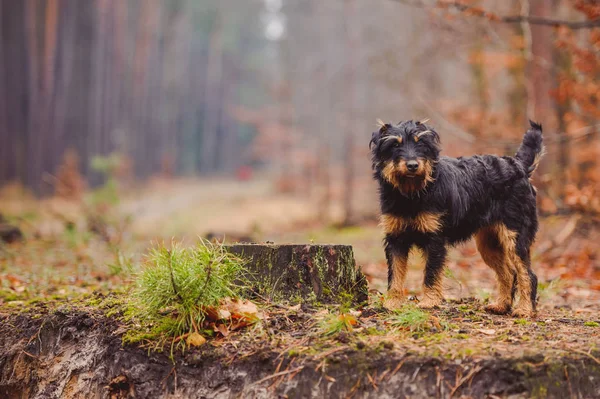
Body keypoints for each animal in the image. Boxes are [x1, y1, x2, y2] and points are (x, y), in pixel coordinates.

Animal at [370, 120, 544, 318]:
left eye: (420, 143)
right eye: (395, 145)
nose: (413, 165)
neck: (411, 193)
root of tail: (519, 166)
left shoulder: (435, 240)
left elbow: (431, 273)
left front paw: (428, 302)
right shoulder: (395, 240)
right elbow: (395, 274)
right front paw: (392, 303)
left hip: (514, 236)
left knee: (528, 274)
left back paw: (524, 309)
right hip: (489, 244)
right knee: (508, 273)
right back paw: (501, 305)